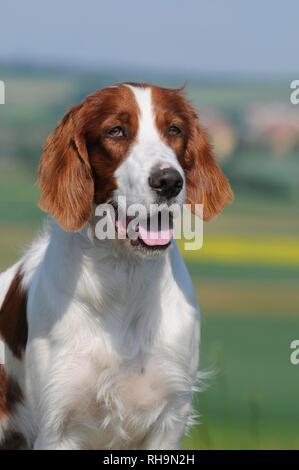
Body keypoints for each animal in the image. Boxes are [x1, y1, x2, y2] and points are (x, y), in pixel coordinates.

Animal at [0, 82, 234, 450]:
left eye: (174, 130)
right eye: (116, 131)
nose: (169, 181)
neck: (124, 276)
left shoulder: (168, 420)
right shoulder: (57, 426)